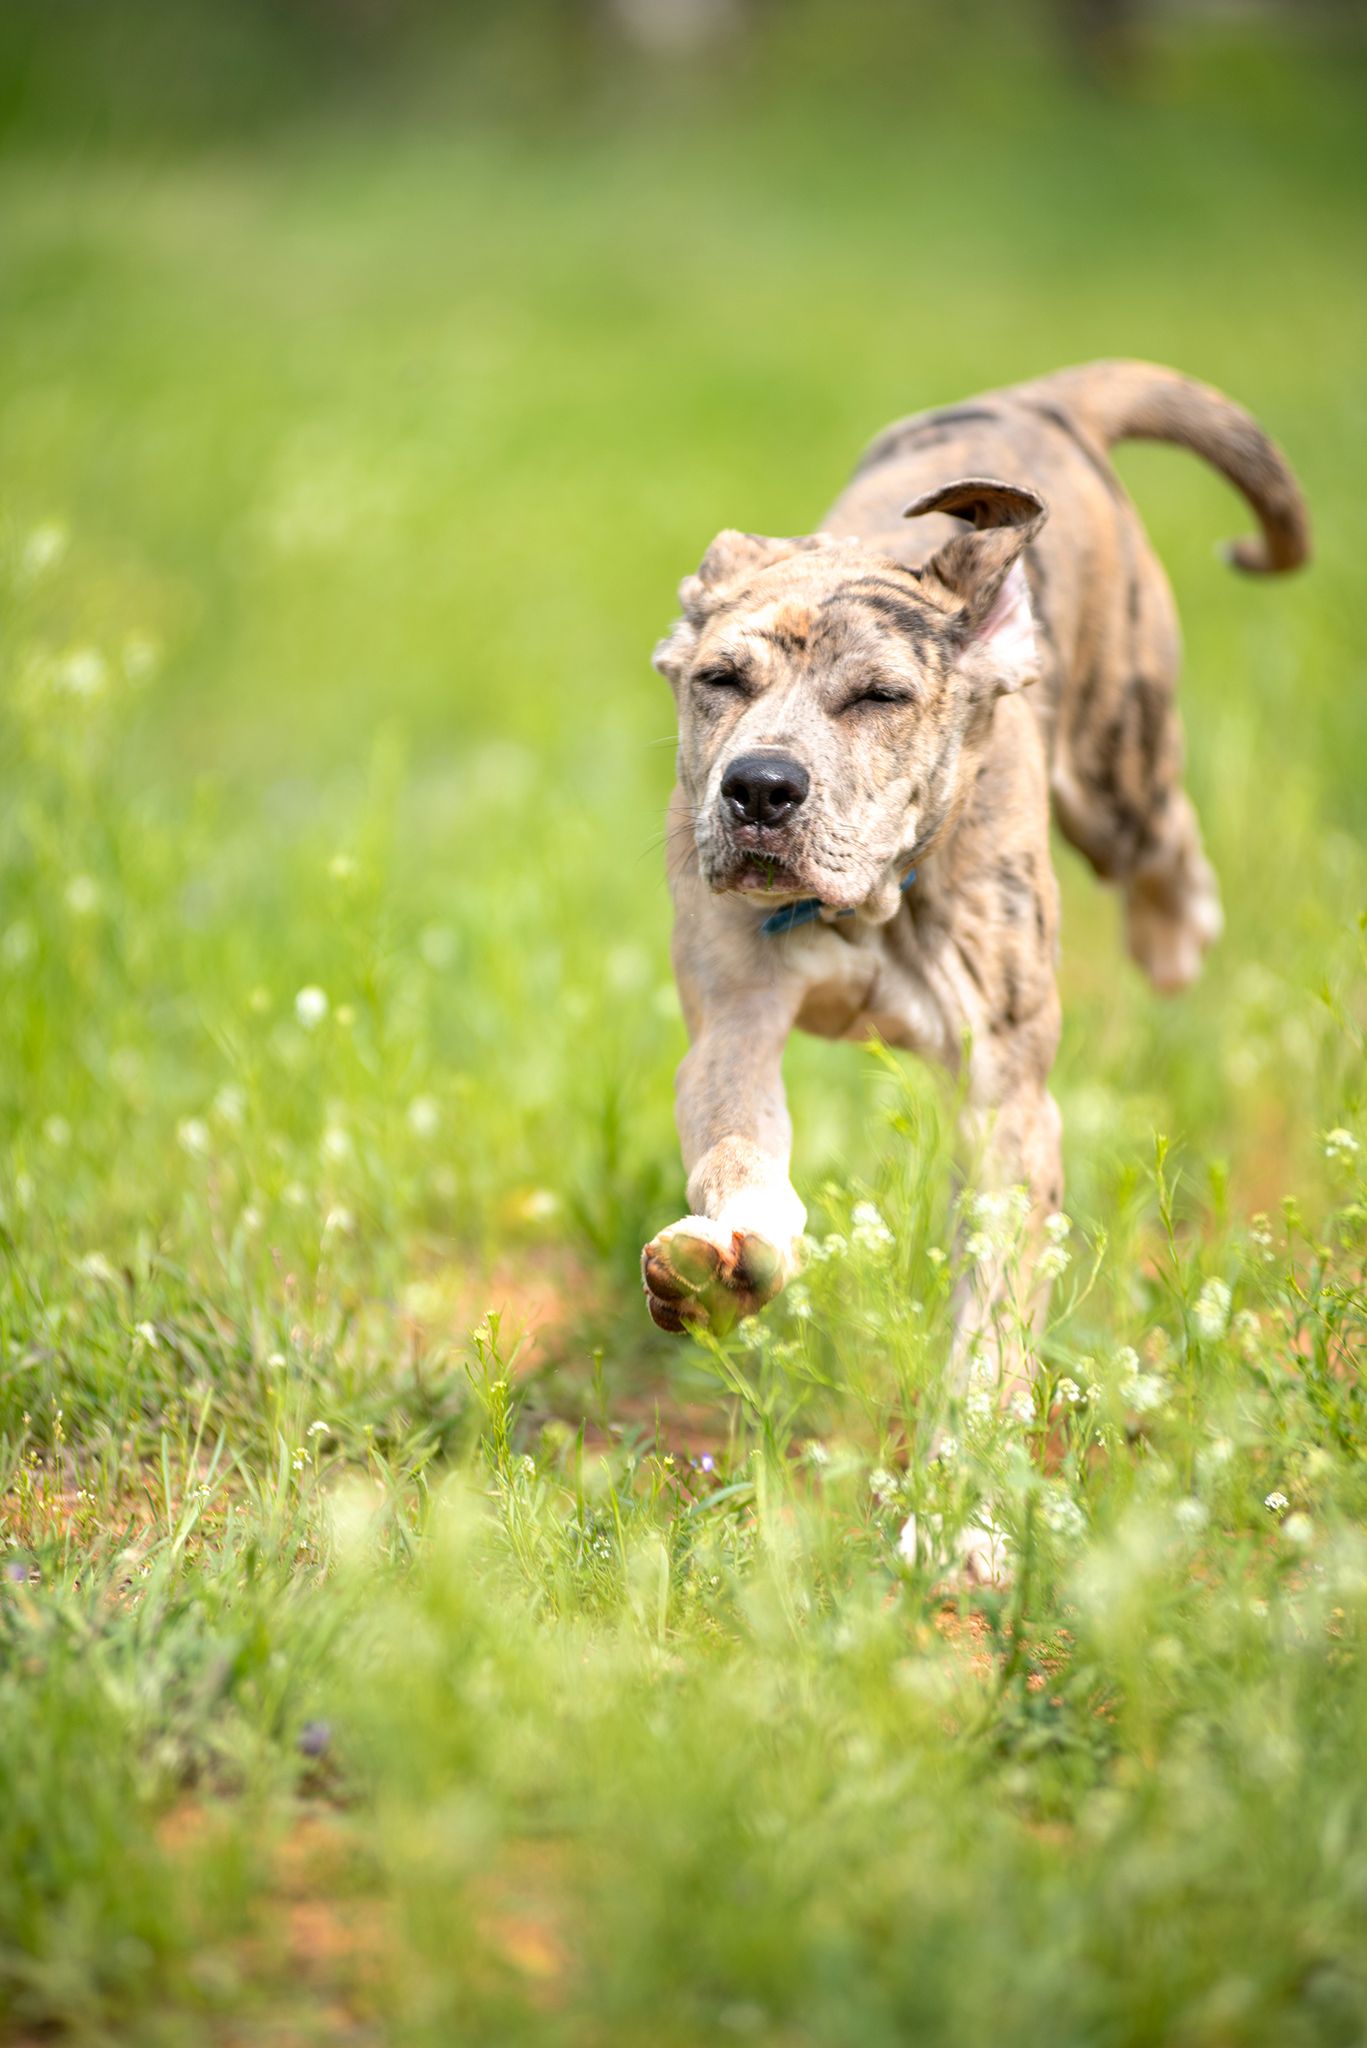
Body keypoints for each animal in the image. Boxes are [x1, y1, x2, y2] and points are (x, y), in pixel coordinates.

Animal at [647, 360, 1311, 1359]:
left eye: (879, 697)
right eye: (718, 682)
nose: (759, 787)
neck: (873, 906)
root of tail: (1039, 397)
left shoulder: (1006, 1089)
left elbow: (998, 1278)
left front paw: (981, 1398)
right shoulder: (734, 1022)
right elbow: (737, 1145)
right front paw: (723, 1260)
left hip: (1118, 762)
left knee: (1162, 836)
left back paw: (1172, 933)